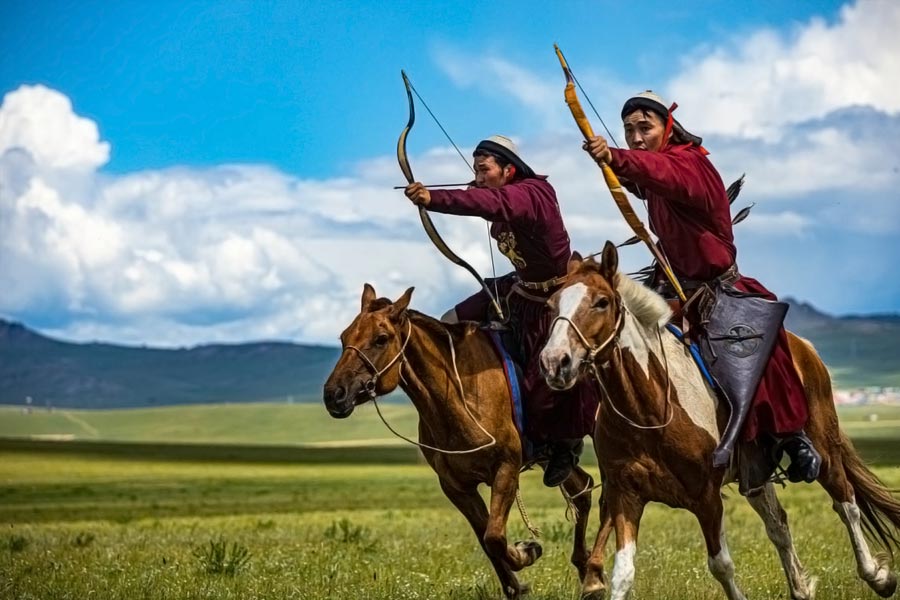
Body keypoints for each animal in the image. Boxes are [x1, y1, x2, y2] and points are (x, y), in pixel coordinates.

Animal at [323, 283, 596, 599]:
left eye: (381, 339)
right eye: (344, 337)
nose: (334, 395)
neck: (459, 395)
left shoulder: (506, 469)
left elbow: (494, 536)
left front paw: (527, 551)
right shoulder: (456, 486)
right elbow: (487, 540)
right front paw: (515, 585)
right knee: (583, 489)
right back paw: (587, 572)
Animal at [538, 241, 900, 600]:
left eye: (601, 302)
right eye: (552, 305)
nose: (555, 362)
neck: (650, 408)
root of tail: (805, 348)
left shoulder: (706, 498)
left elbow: (721, 565)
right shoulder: (625, 496)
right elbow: (623, 575)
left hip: (824, 446)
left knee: (846, 503)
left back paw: (878, 576)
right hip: (755, 472)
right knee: (779, 525)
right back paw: (800, 588)